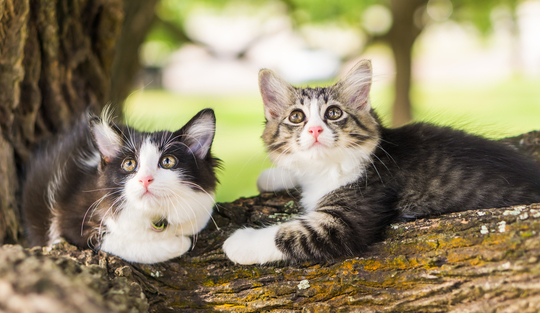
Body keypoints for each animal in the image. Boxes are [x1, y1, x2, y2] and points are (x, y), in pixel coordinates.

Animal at [22, 108, 217, 262]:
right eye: (129, 164)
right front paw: (179, 242)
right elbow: (118, 242)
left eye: (168, 161)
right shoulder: (70, 220)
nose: (145, 179)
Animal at [223, 59, 540, 264]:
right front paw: (271, 176)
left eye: (333, 113)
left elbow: (288, 234)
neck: (328, 168)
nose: (314, 130)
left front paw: (239, 243)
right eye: (297, 117)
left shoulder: (348, 219)